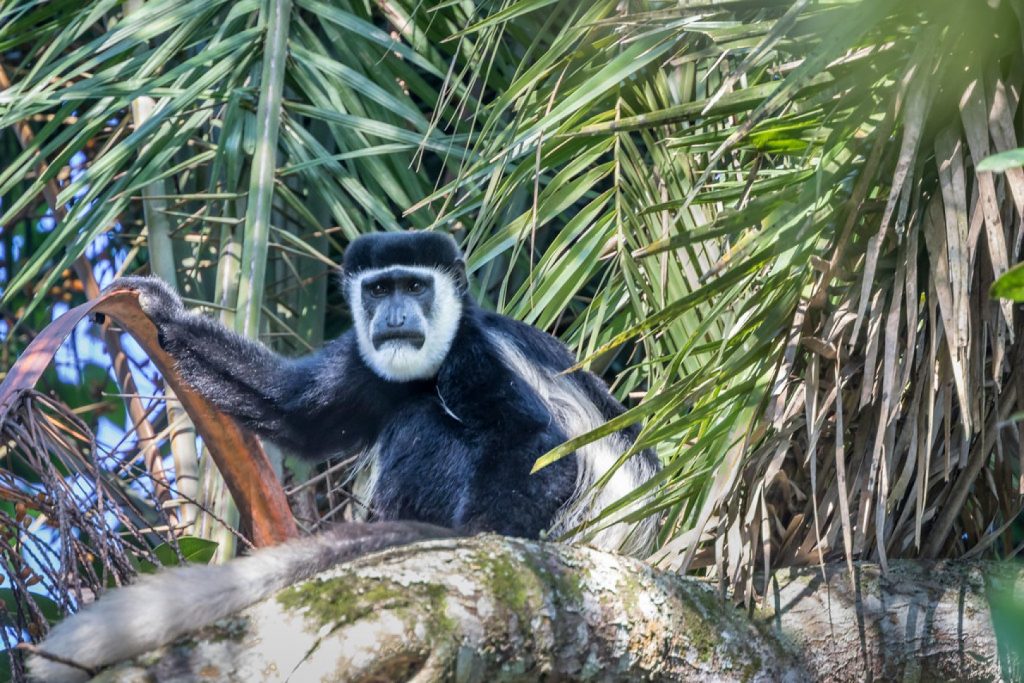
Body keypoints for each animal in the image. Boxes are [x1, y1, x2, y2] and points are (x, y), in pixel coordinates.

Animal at [29, 231, 663, 683]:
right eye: (379, 290)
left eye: (415, 286)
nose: (396, 317)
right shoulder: (367, 360)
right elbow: (297, 411)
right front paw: (161, 311)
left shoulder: (473, 354)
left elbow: (541, 449)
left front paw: (472, 540)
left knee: (424, 419)